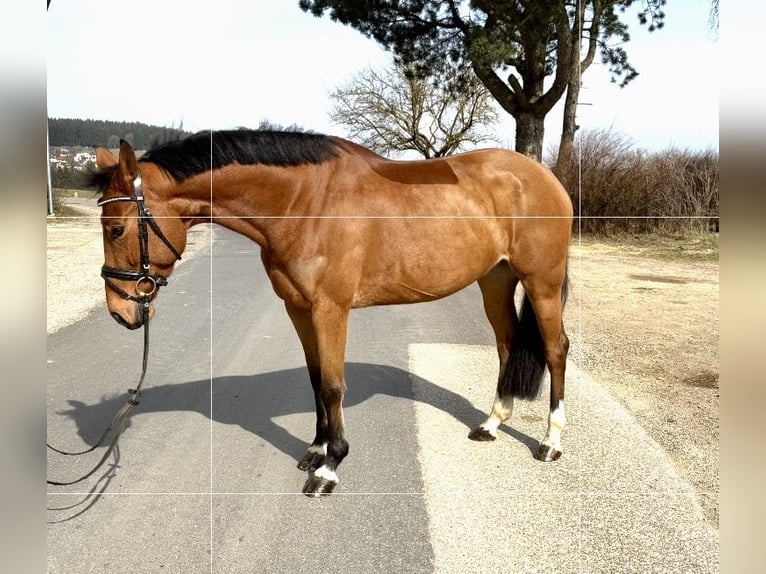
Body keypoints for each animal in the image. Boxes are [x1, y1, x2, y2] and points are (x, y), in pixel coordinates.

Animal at [92, 129, 573, 496]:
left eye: (115, 228)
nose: (119, 312)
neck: (303, 202)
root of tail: (544, 176)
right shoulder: (298, 309)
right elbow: (315, 380)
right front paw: (315, 450)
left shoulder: (330, 309)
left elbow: (332, 385)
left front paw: (329, 467)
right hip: (495, 280)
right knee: (507, 343)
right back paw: (491, 423)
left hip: (542, 283)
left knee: (555, 348)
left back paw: (551, 441)